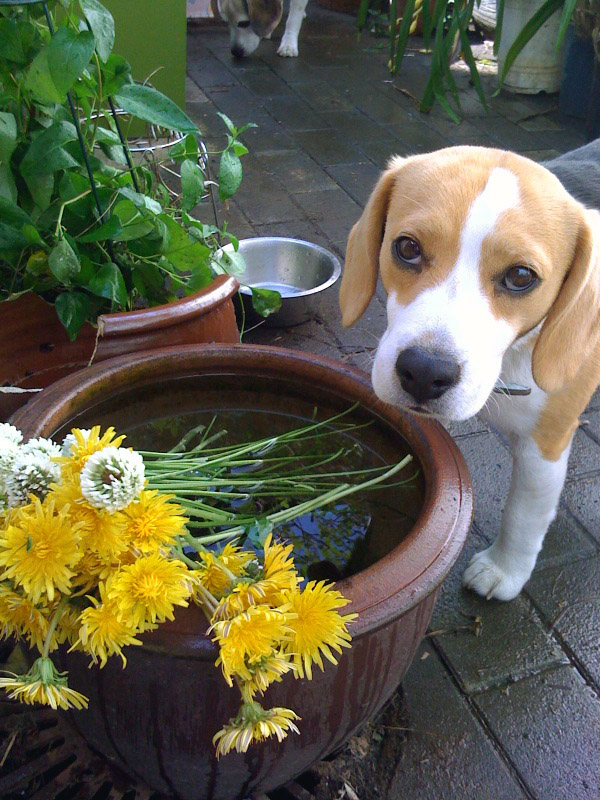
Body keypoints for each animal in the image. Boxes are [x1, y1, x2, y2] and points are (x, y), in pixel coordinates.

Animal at [340, 139, 600, 600]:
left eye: (520, 276)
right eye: (407, 248)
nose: (425, 372)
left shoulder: (545, 443)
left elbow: (523, 514)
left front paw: (504, 570)